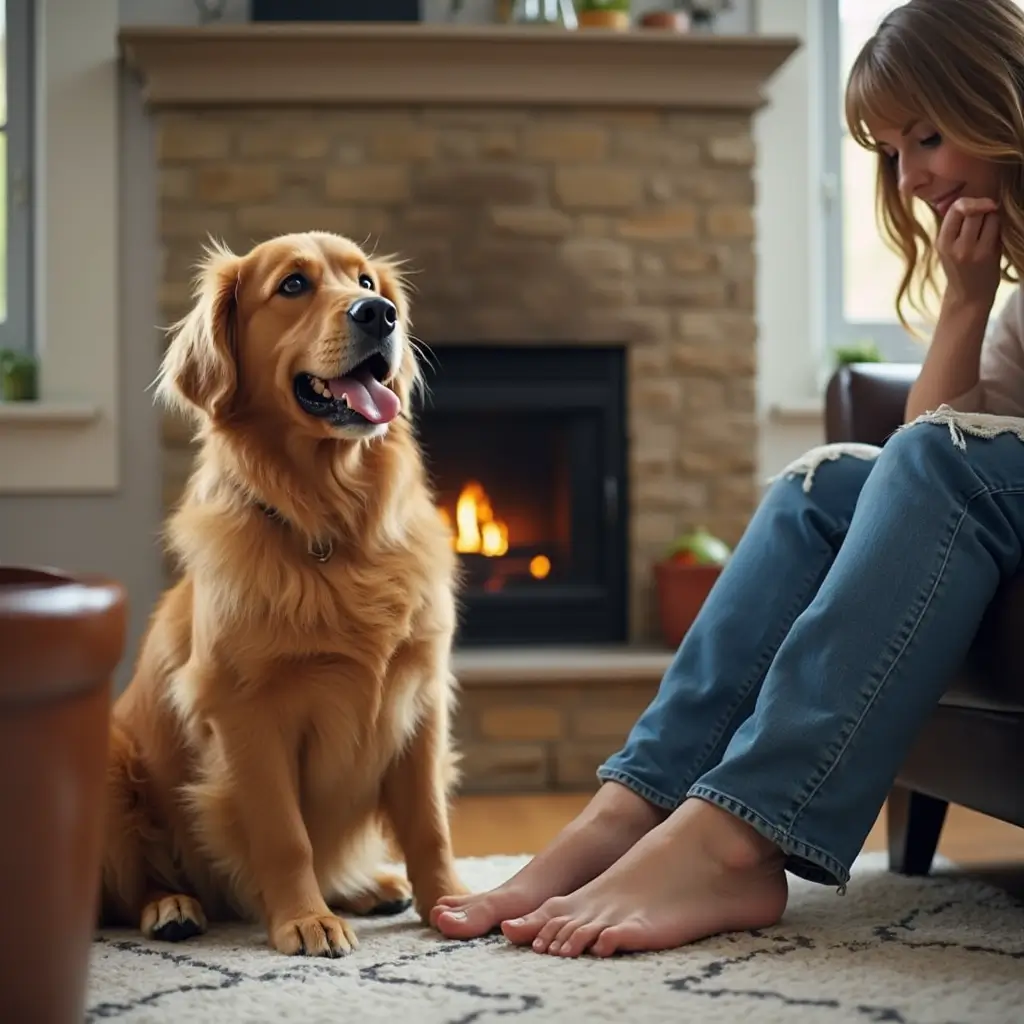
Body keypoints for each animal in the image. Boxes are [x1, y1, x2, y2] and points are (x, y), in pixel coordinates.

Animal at [99, 228, 468, 954]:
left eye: (367, 282)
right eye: (293, 285)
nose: (379, 315)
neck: (334, 528)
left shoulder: (420, 696)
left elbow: (431, 825)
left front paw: (453, 904)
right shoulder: (248, 714)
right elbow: (285, 835)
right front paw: (304, 919)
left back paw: (371, 886)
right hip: (110, 761)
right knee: (129, 891)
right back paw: (172, 906)